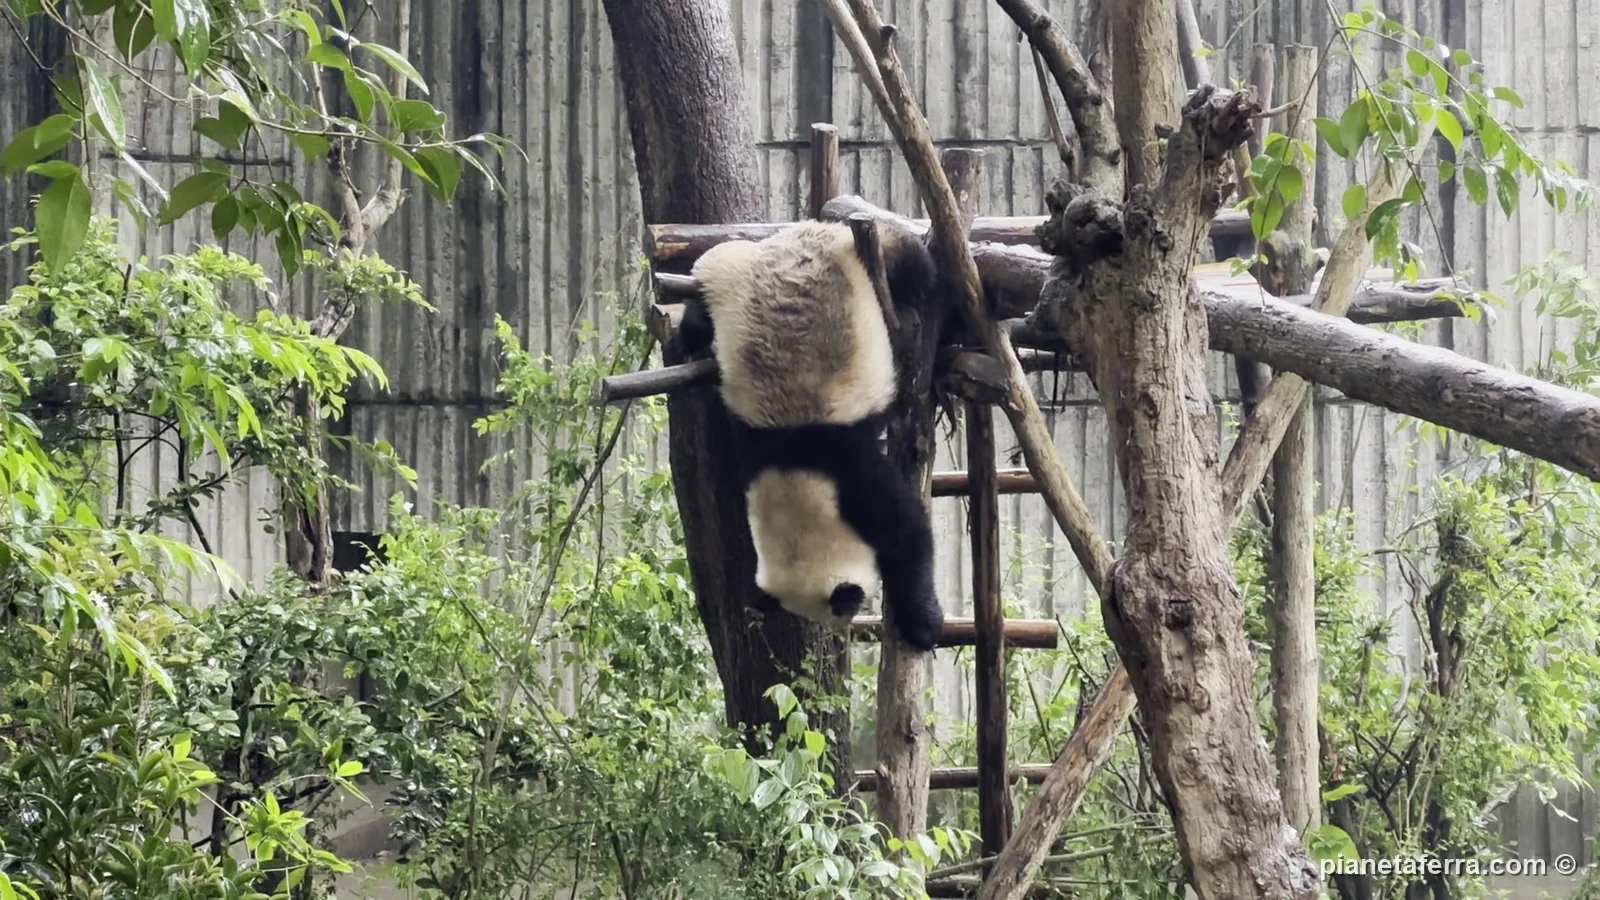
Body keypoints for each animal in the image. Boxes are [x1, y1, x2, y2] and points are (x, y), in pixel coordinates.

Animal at [678, 218, 946, 653]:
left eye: (843, 607)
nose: (845, 624)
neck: (795, 467)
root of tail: (804, 229)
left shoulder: (851, 474)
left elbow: (909, 535)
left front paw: (924, 625)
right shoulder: (757, 453)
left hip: (861, 253)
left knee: (914, 266)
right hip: (733, 268)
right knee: (702, 299)